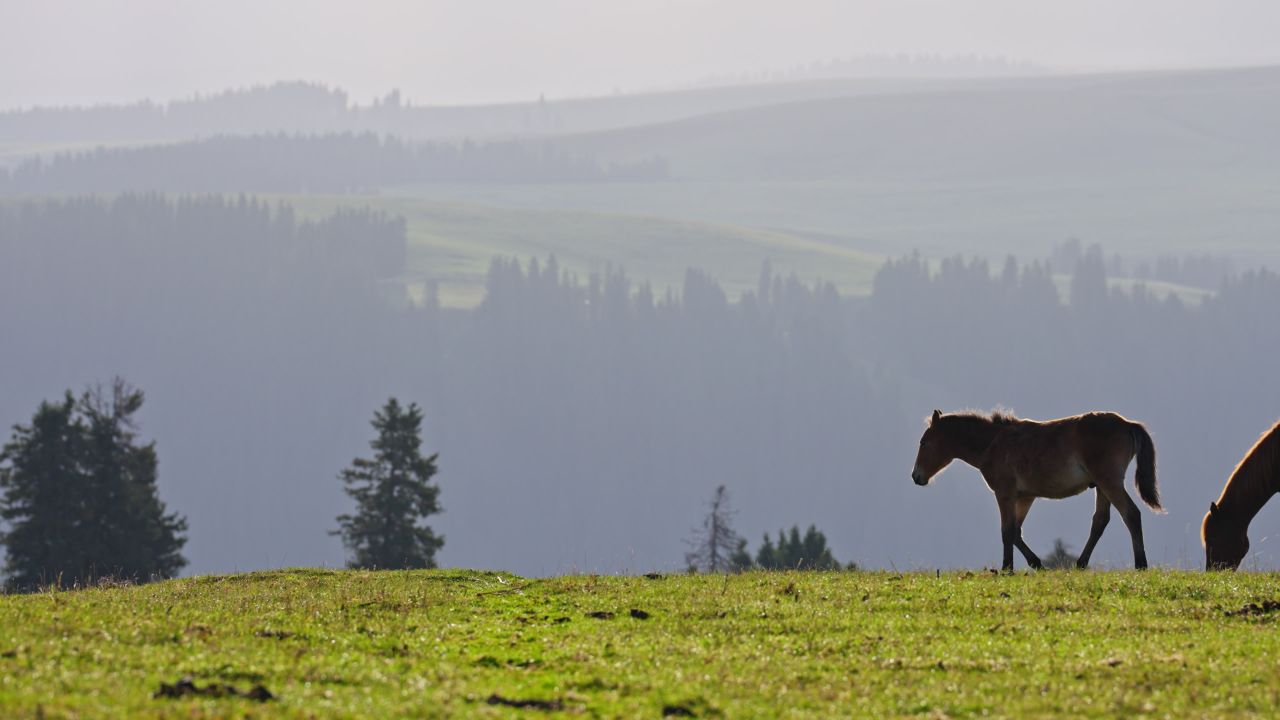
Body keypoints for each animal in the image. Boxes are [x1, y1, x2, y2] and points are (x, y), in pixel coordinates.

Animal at [911, 407, 1162, 568]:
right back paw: (1081, 564)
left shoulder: (1005, 493)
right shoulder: (1025, 497)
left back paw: (1141, 564)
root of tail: (1127, 424)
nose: (916, 476)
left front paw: (1007, 569)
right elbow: (1016, 531)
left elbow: (1007, 531)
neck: (993, 443)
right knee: (1100, 522)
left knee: (1131, 514)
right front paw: (1036, 563)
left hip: (1109, 481)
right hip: (1101, 486)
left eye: (924, 442)